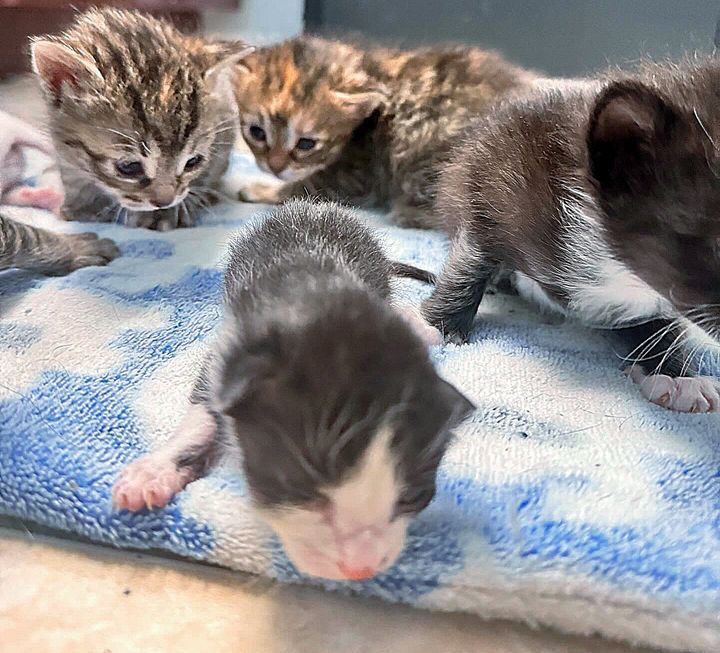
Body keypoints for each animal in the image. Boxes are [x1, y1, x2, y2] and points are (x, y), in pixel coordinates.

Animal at [112, 199, 472, 580]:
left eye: (410, 497)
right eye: (300, 487)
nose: (360, 567)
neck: (316, 295)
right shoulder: (227, 352)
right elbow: (201, 415)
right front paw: (152, 473)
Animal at [232, 37, 536, 229]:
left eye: (306, 143)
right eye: (257, 132)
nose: (274, 167)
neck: (369, 66)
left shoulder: (358, 172)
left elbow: (304, 188)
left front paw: (262, 189)